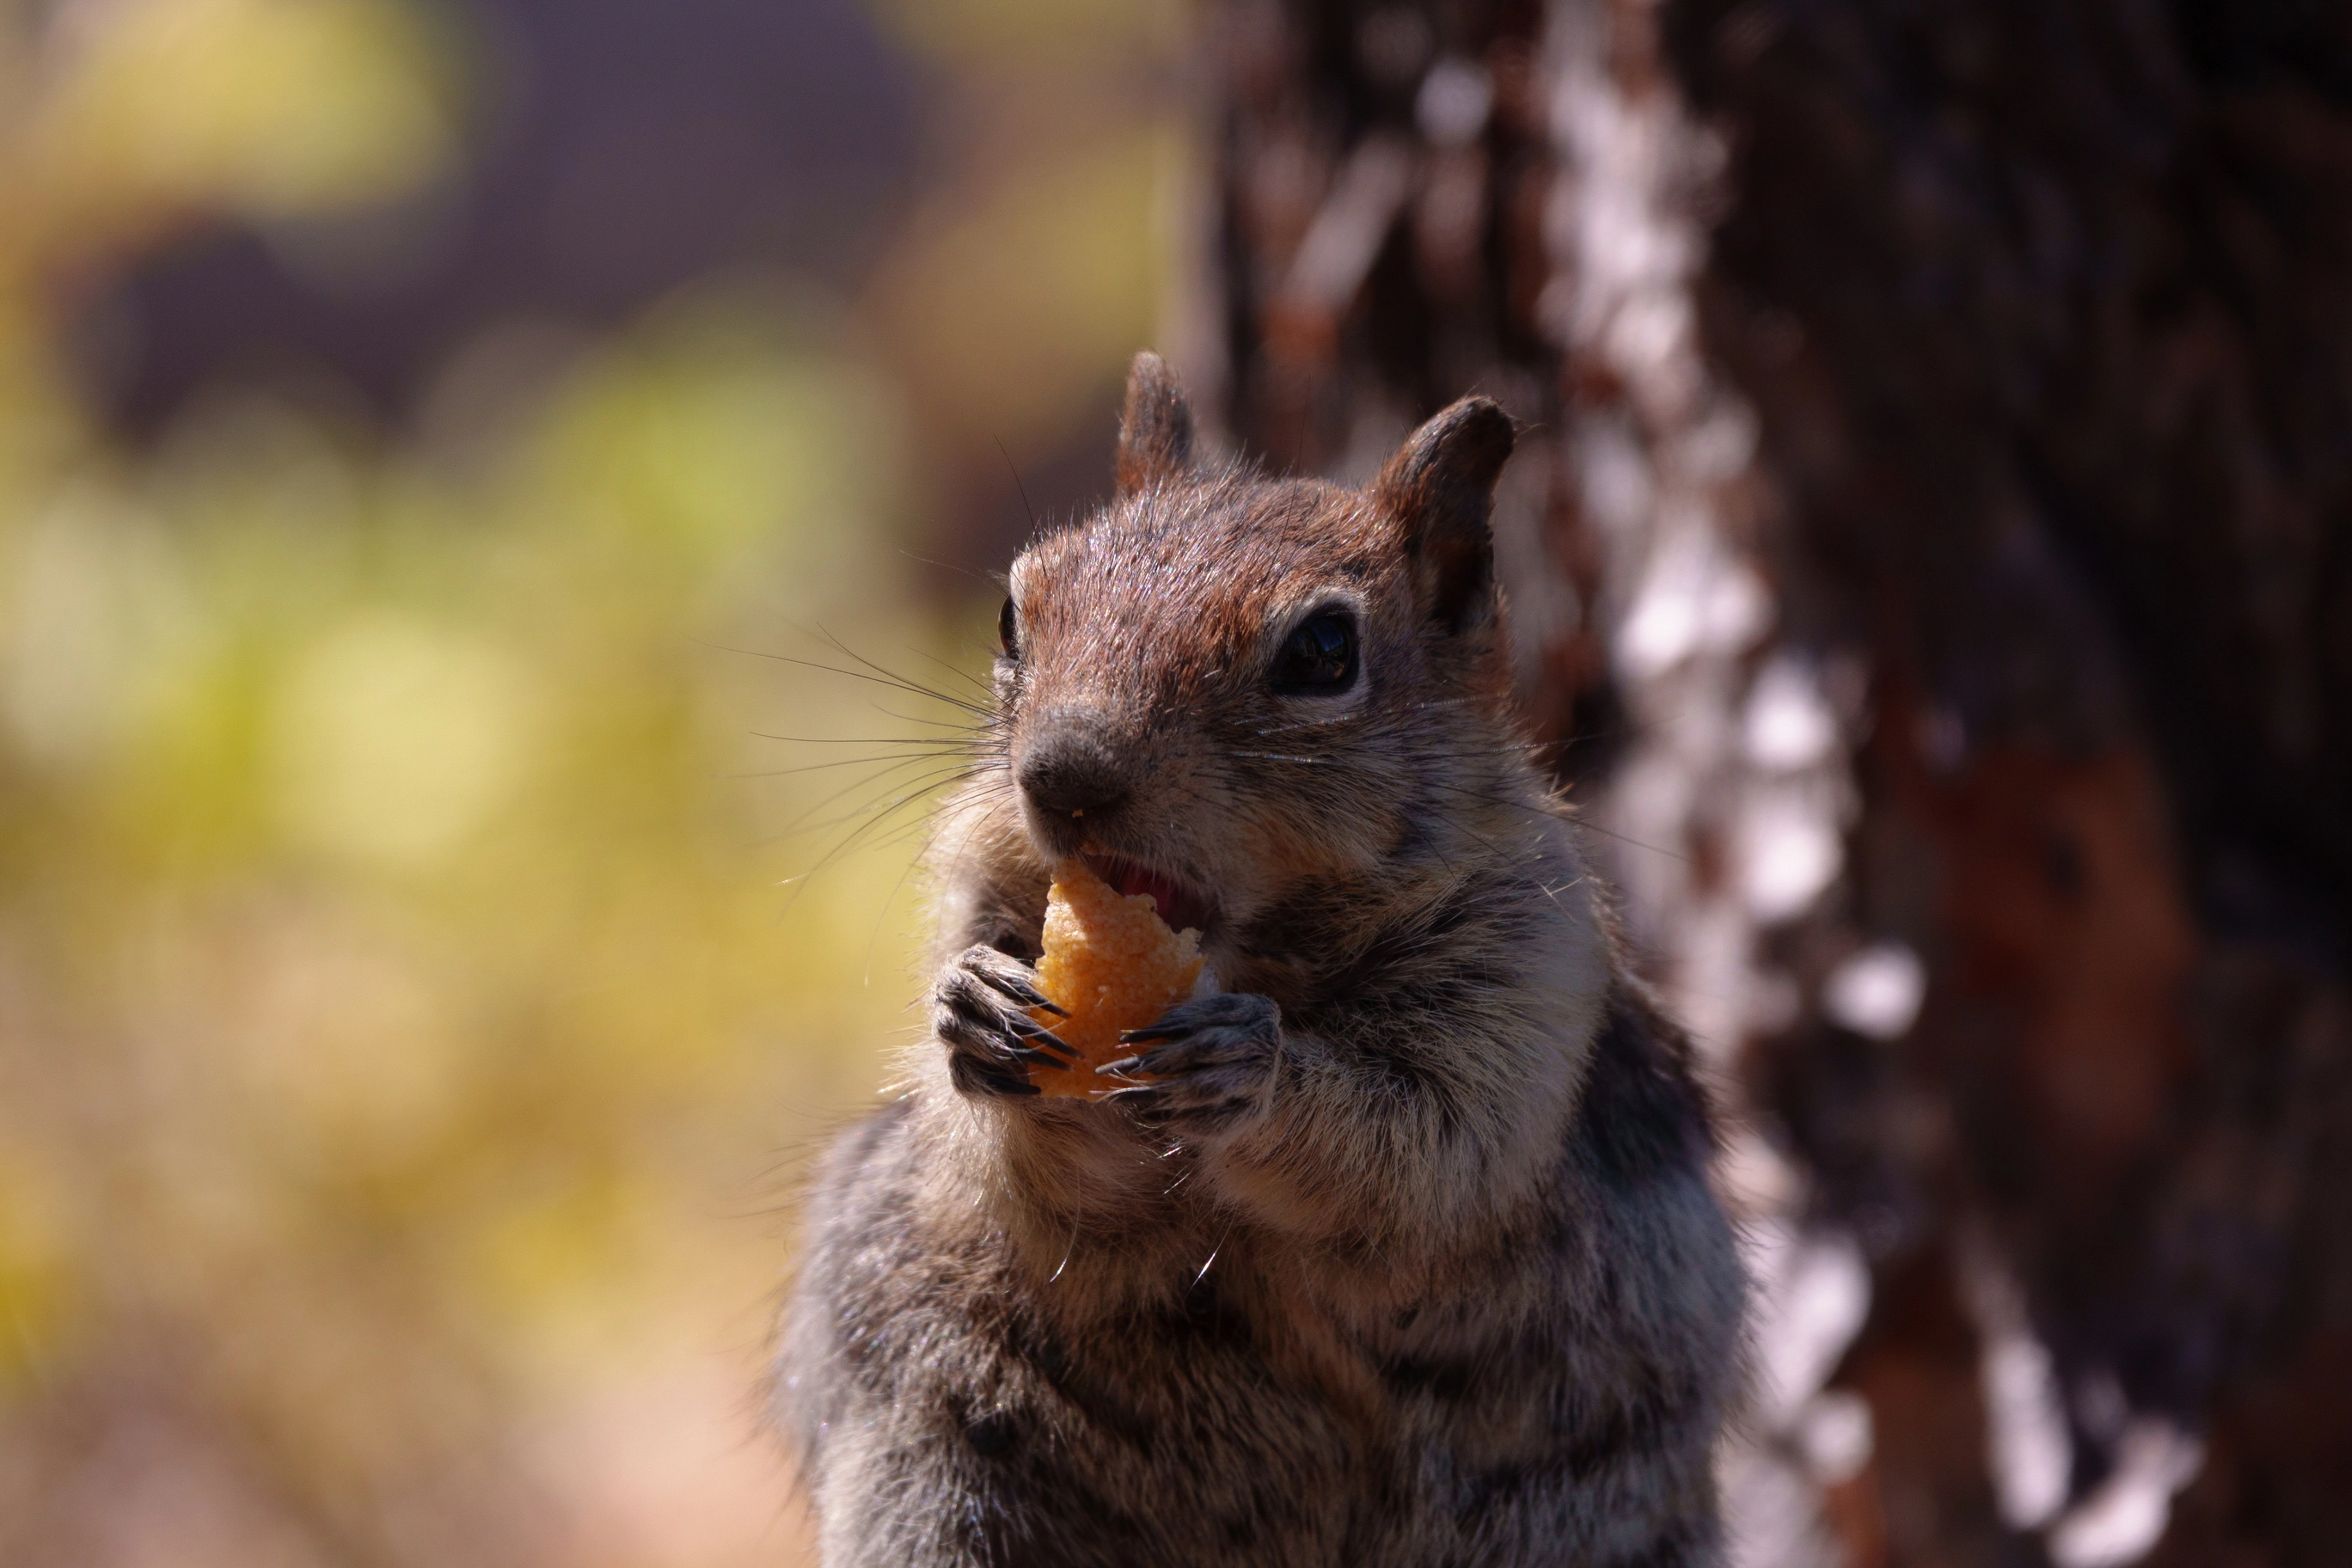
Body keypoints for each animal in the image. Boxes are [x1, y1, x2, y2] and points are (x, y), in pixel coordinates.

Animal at [775, 353, 1745, 1567]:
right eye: (1011, 613)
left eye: (1325, 651)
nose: (1064, 773)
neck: (1248, 955)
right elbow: (1035, 1191)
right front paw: (980, 1017)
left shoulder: (1528, 969)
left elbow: (1428, 1151)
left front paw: (1255, 1075)